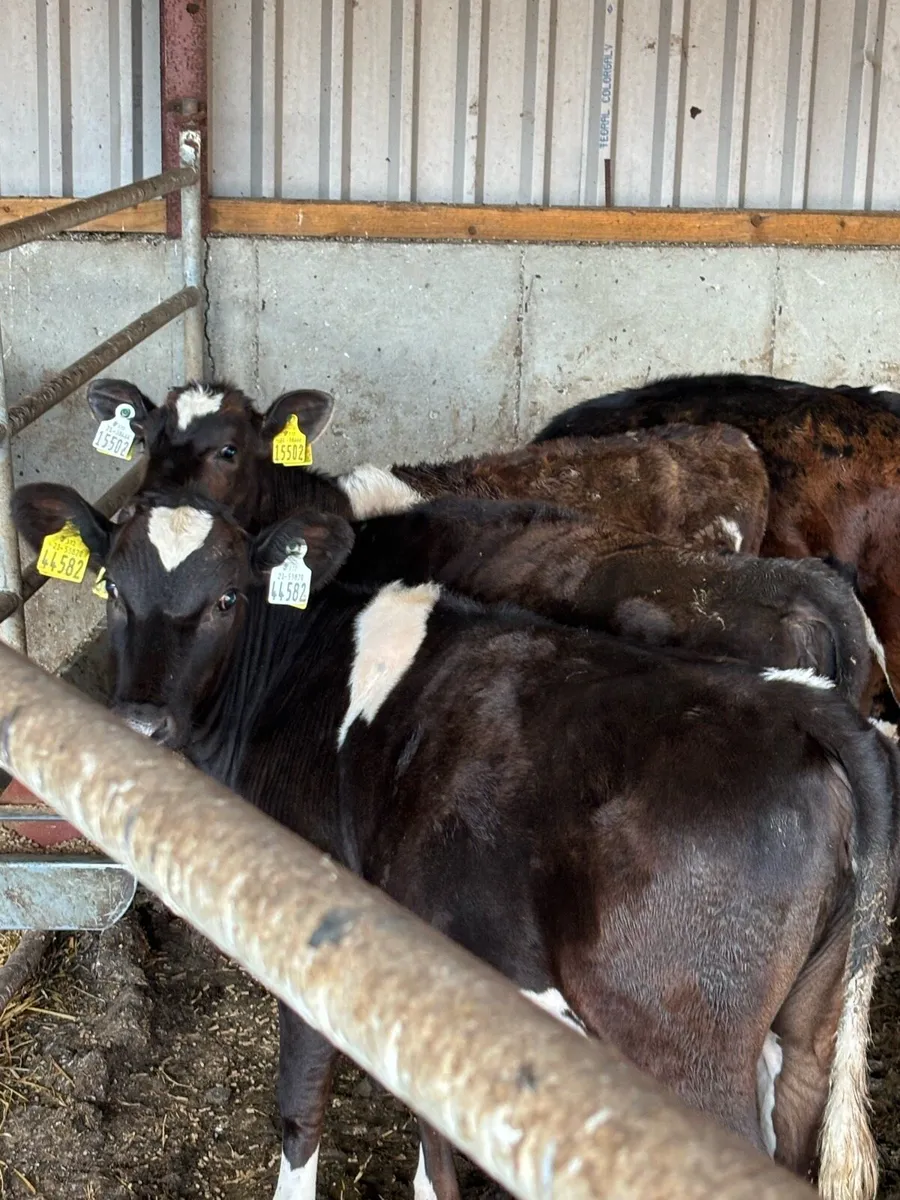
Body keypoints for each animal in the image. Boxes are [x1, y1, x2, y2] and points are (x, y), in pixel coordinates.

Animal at [13, 479, 900, 1200]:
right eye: (111, 588)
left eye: (230, 597)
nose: (140, 725)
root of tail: (796, 702)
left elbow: (302, 1103)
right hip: (808, 1029)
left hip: (683, 1041)